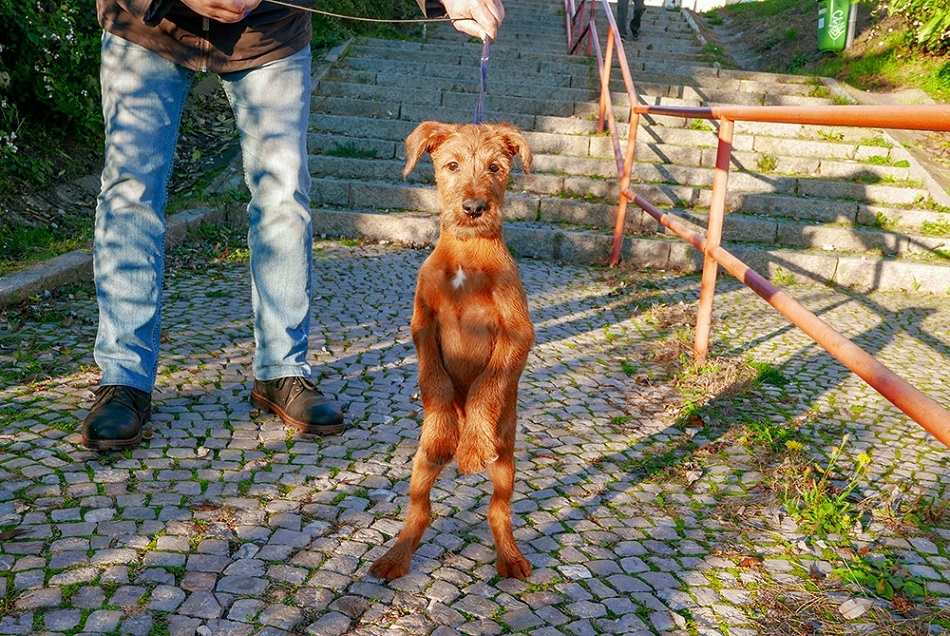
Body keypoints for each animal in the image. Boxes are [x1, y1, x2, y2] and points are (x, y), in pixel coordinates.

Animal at [370, 121, 535, 580]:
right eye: (451, 165)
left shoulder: (517, 333)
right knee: (419, 509)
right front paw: (444, 425)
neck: (466, 253)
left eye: (495, 167)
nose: (475, 207)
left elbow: (486, 385)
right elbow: (435, 380)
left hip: (506, 460)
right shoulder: (424, 325)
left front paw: (473, 444)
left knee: (499, 508)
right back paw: (396, 556)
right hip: (422, 463)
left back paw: (509, 554)